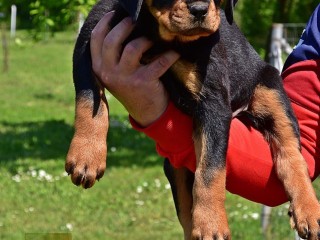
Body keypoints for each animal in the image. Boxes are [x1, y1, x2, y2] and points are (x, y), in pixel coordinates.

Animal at [66, 0, 320, 238]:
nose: (199, 10)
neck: (160, 36)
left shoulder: (213, 102)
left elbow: (210, 170)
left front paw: (211, 224)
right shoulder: (89, 42)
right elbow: (90, 101)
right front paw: (86, 156)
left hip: (271, 91)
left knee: (292, 157)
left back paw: (308, 210)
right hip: (176, 168)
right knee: (187, 215)